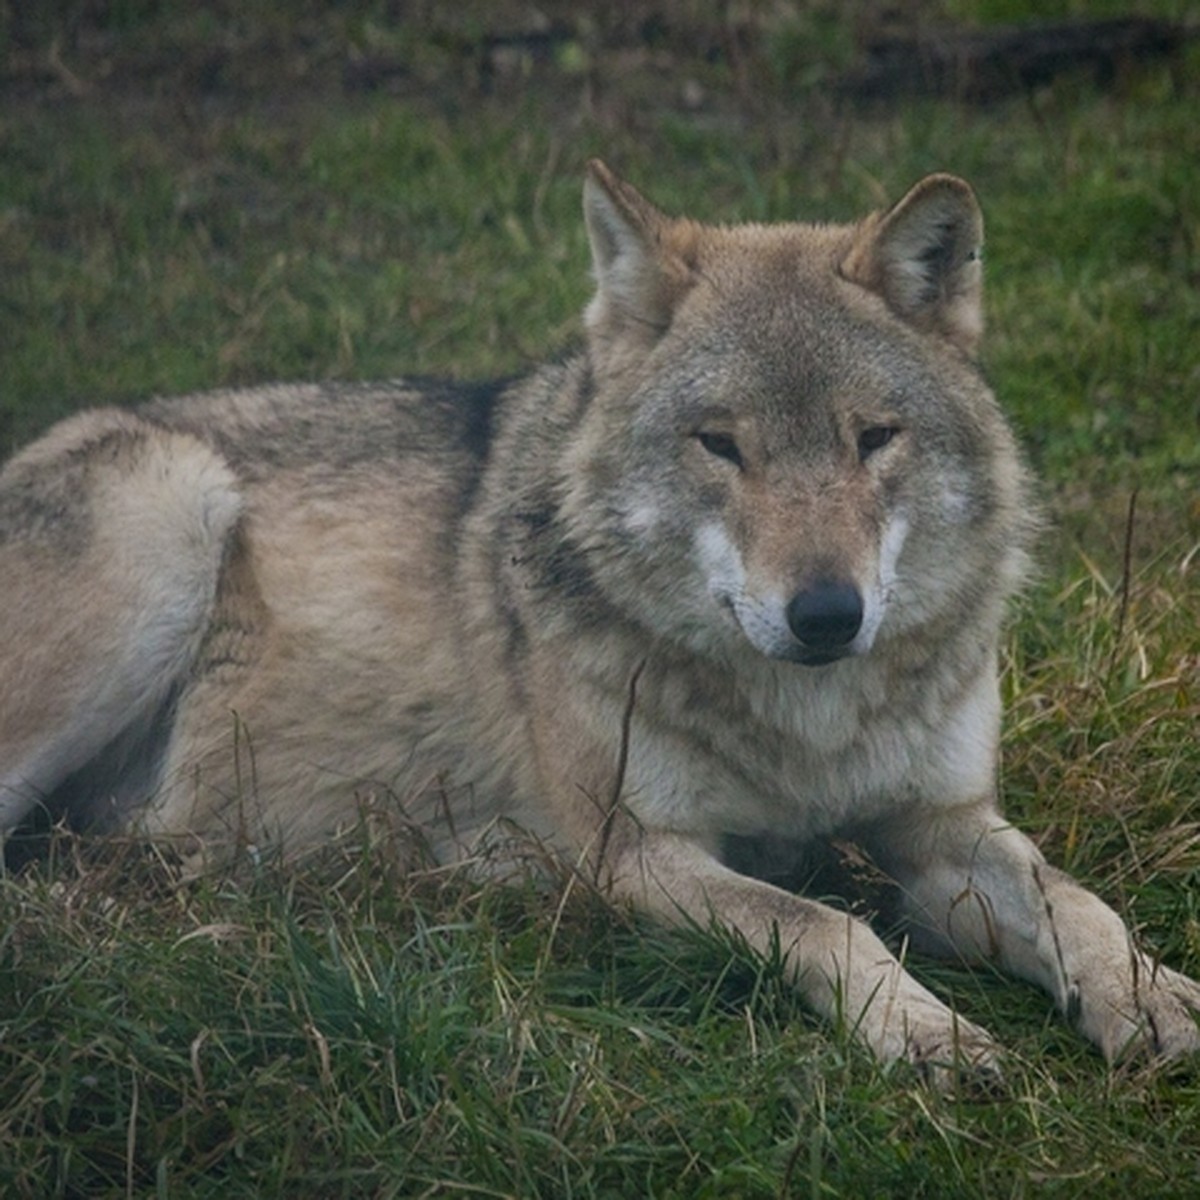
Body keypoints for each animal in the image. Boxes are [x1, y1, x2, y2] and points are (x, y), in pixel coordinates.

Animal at [2, 159, 1200, 1080]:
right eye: (722, 445)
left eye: (873, 438)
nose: (826, 614)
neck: (806, 729)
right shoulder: (634, 853)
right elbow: (820, 919)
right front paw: (923, 1030)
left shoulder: (944, 828)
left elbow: (1077, 904)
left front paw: (1148, 994)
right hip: (171, 509)